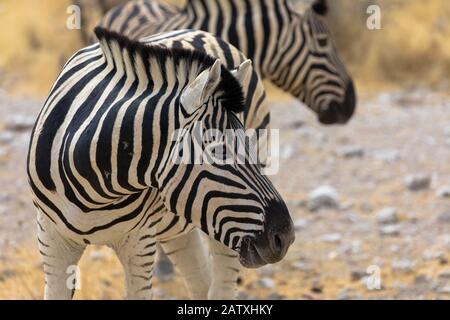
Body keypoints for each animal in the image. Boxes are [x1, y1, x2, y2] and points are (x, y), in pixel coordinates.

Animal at [28, 28, 296, 300]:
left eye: (247, 145)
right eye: (219, 151)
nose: (285, 236)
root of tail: (205, 34)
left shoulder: (140, 243)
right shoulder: (51, 240)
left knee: (221, 287)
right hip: (180, 222)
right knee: (200, 280)